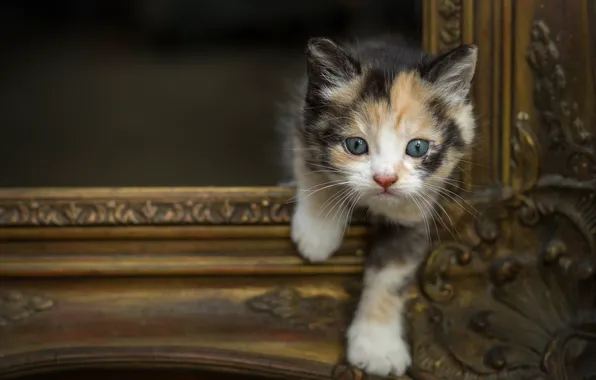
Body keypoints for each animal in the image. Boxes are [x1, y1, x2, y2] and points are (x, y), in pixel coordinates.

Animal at [282, 36, 478, 378]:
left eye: (417, 147)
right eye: (356, 145)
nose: (385, 178)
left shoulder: (416, 212)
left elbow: (391, 276)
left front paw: (377, 348)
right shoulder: (302, 117)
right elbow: (310, 164)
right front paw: (317, 235)